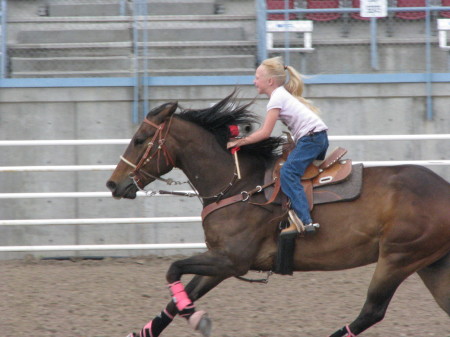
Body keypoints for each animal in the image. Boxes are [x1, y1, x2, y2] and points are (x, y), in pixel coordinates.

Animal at [108, 92, 450, 336]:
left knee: (371, 312)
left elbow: (173, 269)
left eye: (139, 140)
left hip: (398, 258)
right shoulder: (222, 260)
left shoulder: (232, 259)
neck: (239, 186)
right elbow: (179, 297)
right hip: (430, 264)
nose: (113, 183)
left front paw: (199, 321)